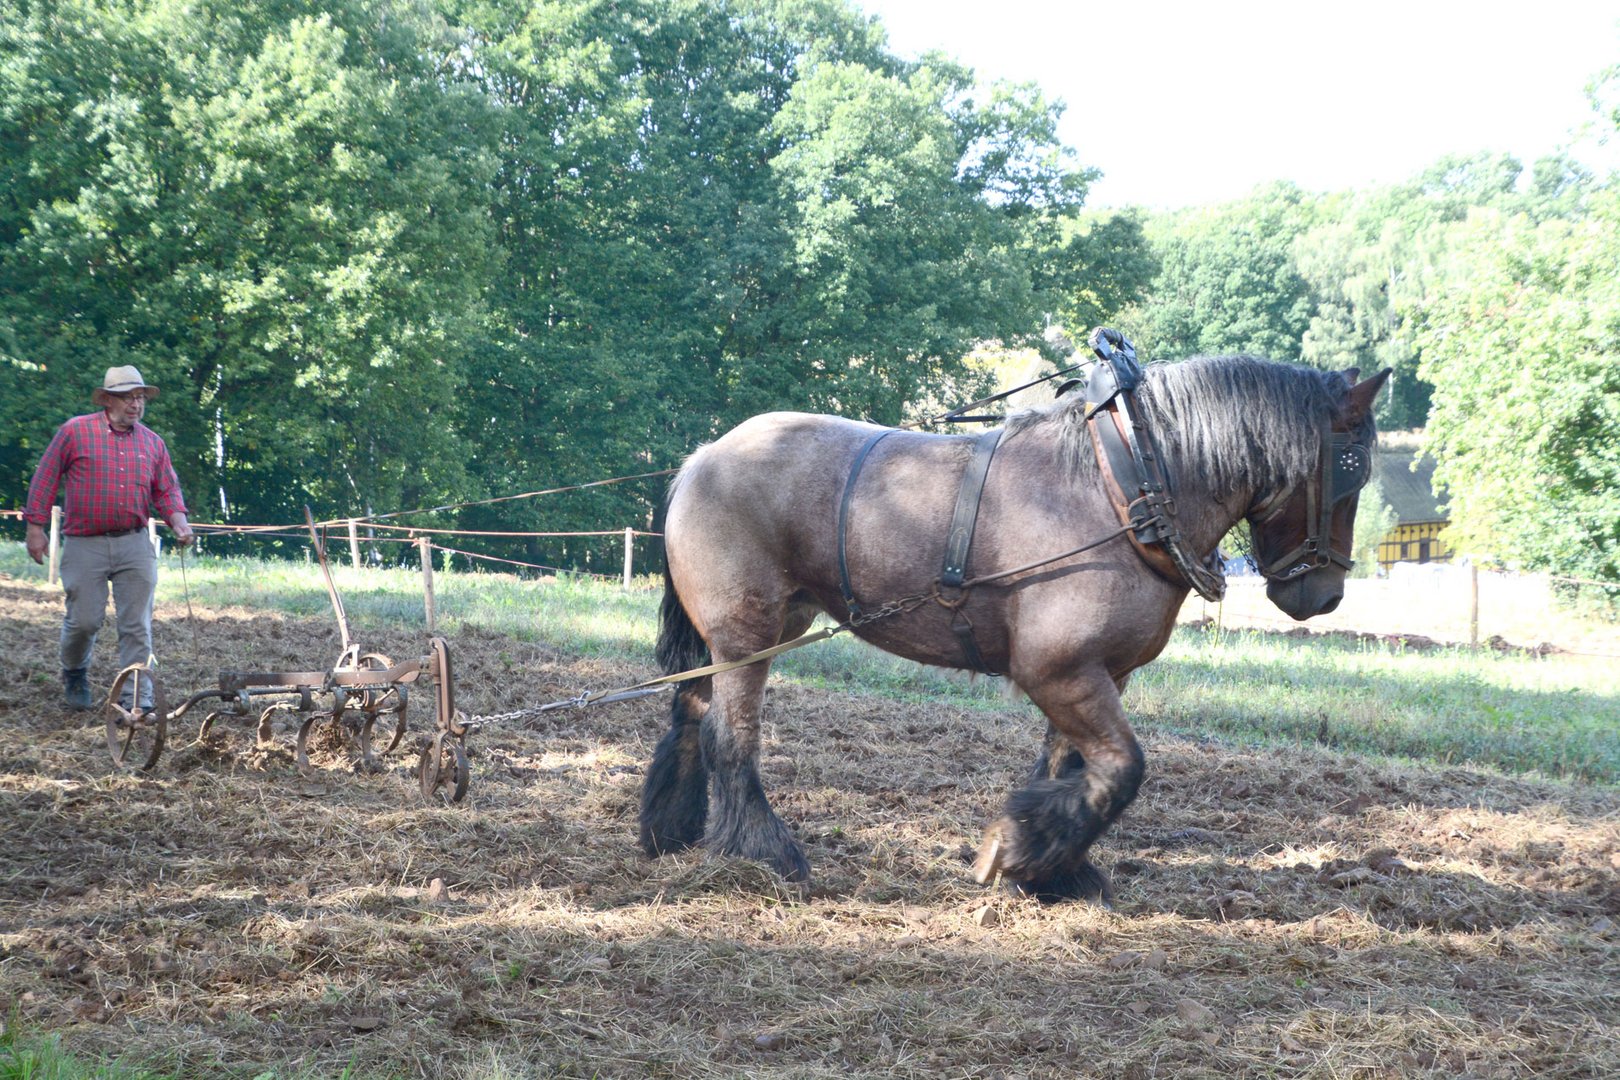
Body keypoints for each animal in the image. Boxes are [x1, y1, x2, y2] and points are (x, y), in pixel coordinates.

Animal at [638, 341, 1386, 900]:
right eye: (1351, 471)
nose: (1324, 595)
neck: (1122, 487)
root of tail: (700, 458)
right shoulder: (1056, 669)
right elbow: (1122, 769)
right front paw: (1016, 853)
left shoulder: (1095, 672)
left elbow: (1070, 766)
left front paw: (1053, 869)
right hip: (746, 632)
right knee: (730, 738)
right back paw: (764, 853)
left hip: (753, 631)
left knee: (692, 712)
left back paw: (670, 832)